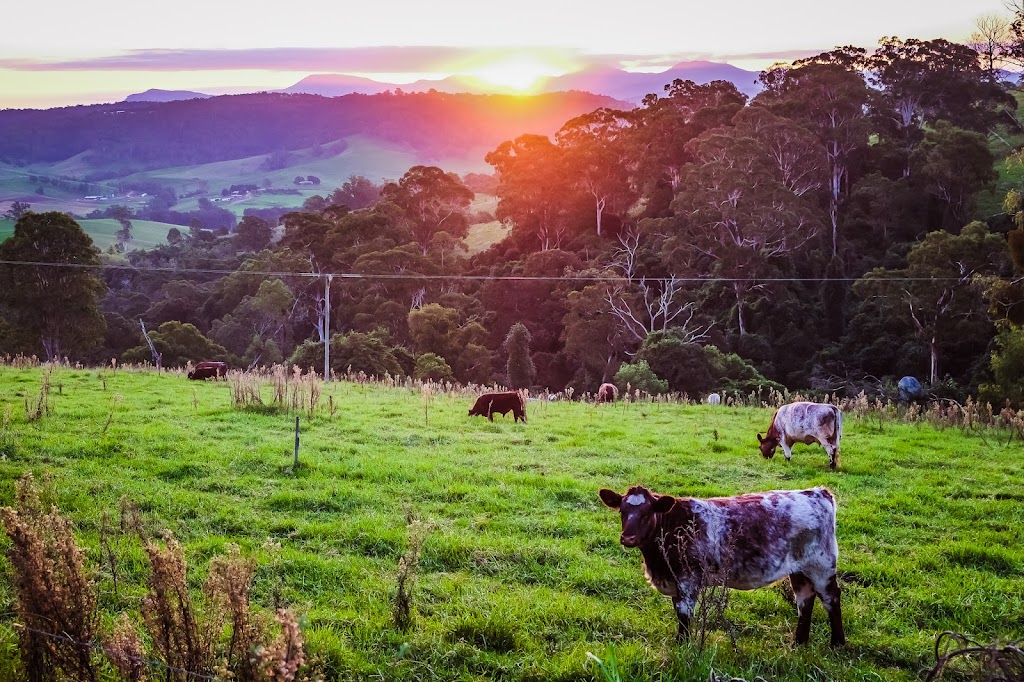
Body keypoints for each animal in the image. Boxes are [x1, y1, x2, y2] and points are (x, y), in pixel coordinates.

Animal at [598, 483, 843, 643]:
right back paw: (799, 642)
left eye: (647, 512)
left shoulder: (688, 581)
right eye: (622, 511)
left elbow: (684, 616)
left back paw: (838, 643)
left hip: (822, 565)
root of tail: (817, 492)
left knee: (831, 598)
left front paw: (682, 646)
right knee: (805, 600)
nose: (627, 538)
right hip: (800, 569)